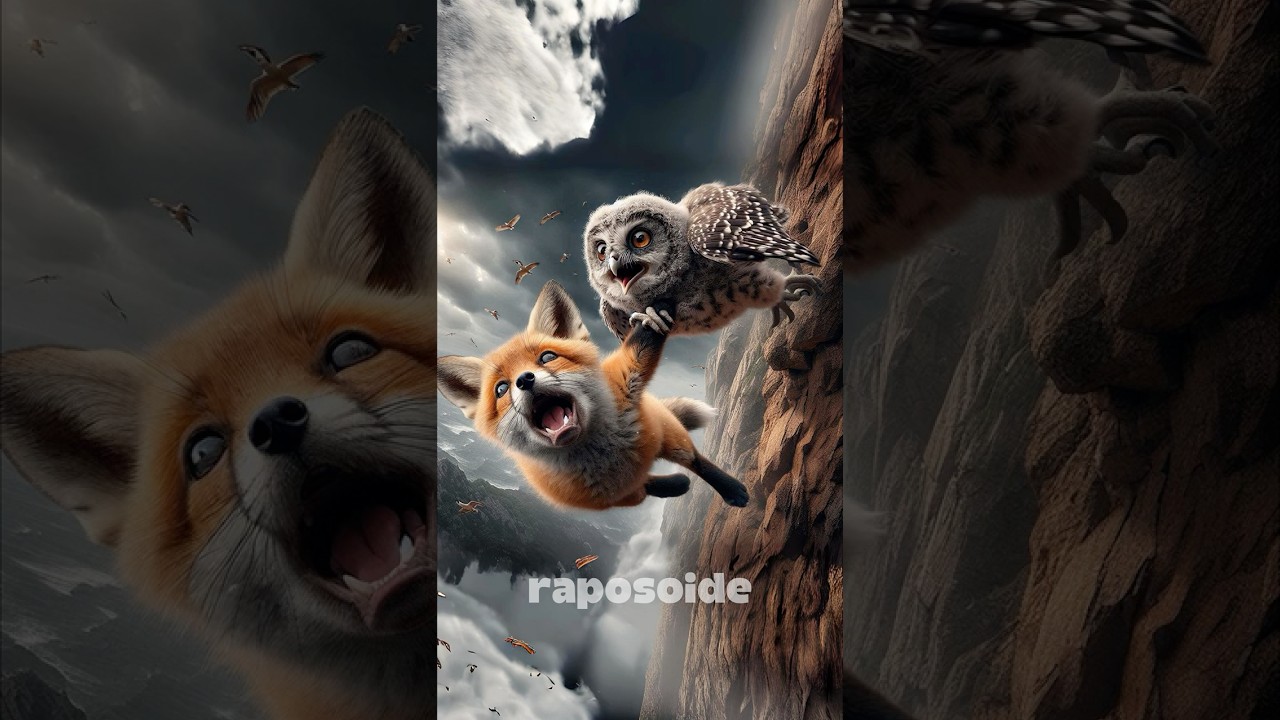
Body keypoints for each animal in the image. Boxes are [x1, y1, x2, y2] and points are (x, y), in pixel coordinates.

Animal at [438, 280, 750, 510]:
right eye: (501, 389)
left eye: (547, 357)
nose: (524, 380)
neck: (599, 453)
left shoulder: (624, 381)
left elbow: (639, 348)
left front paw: (654, 313)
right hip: (623, 494)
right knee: (647, 485)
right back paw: (676, 484)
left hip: (671, 436)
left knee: (694, 459)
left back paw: (731, 489)